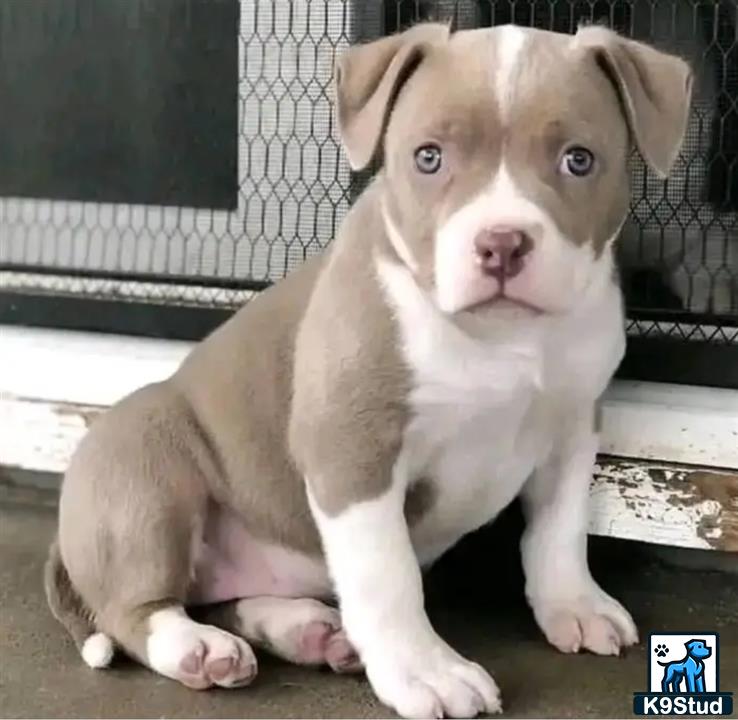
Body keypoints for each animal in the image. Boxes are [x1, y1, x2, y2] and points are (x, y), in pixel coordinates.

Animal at [46, 22, 688, 720]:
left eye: (578, 160)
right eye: (428, 158)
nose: (501, 244)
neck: (498, 338)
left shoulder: (571, 430)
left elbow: (560, 529)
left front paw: (573, 604)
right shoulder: (352, 450)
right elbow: (388, 575)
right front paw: (425, 671)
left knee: (220, 598)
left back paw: (301, 628)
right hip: (145, 468)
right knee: (135, 609)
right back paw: (197, 648)